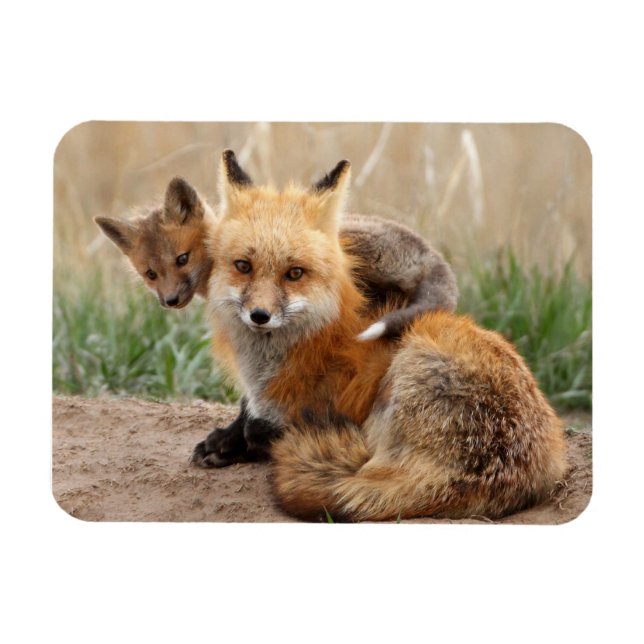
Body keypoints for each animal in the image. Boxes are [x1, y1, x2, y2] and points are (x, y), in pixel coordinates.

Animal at [206, 150, 568, 521]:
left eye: (294, 274)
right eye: (243, 266)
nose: (259, 316)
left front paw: (241, 441)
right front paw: (225, 441)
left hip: (405, 370)